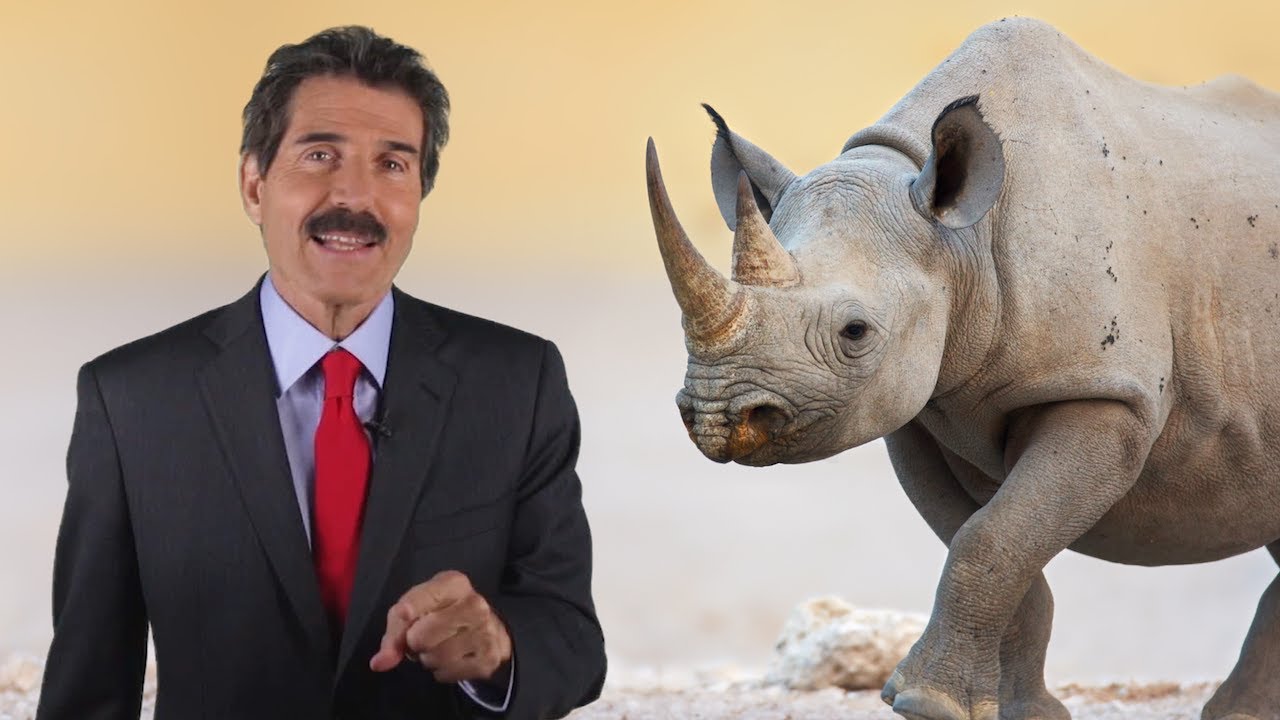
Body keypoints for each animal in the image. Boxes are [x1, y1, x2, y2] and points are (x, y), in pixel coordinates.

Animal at [645, 17, 1280, 720]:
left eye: (855, 332)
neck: (961, 241)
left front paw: (924, 701)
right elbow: (983, 541)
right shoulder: (917, 407)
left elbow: (993, 538)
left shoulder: (1106, 394)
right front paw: (1022, 713)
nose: (717, 416)